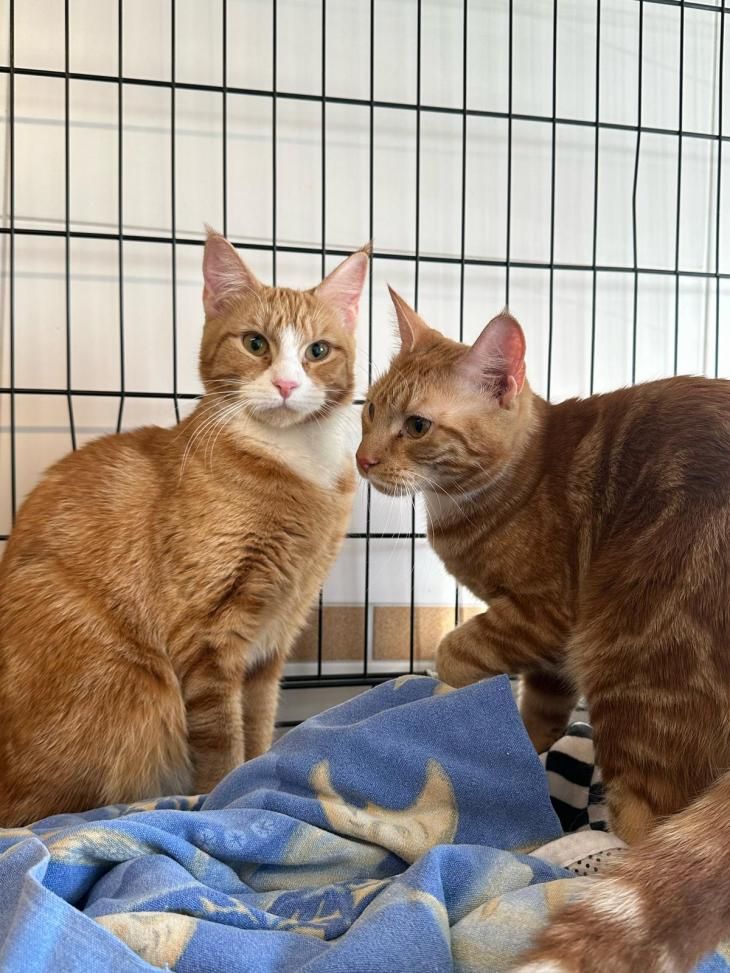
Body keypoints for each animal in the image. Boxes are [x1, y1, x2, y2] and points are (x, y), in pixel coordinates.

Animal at [0, 230, 369, 827]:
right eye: (255, 343)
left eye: (318, 351)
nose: (287, 383)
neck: (292, 463)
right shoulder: (208, 633)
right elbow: (221, 738)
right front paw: (222, 800)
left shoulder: (272, 640)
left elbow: (257, 725)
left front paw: (255, 778)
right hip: (133, 685)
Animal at [357, 288, 730, 972]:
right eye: (369, 409)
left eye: (416, 426)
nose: (362, 458)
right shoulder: (551, 654)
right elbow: (542, 714)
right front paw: (515, 749)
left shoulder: (545, 614)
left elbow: (456, 648)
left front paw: (446, 698)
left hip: (629, 658)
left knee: (650, 825)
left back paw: (572, 863)